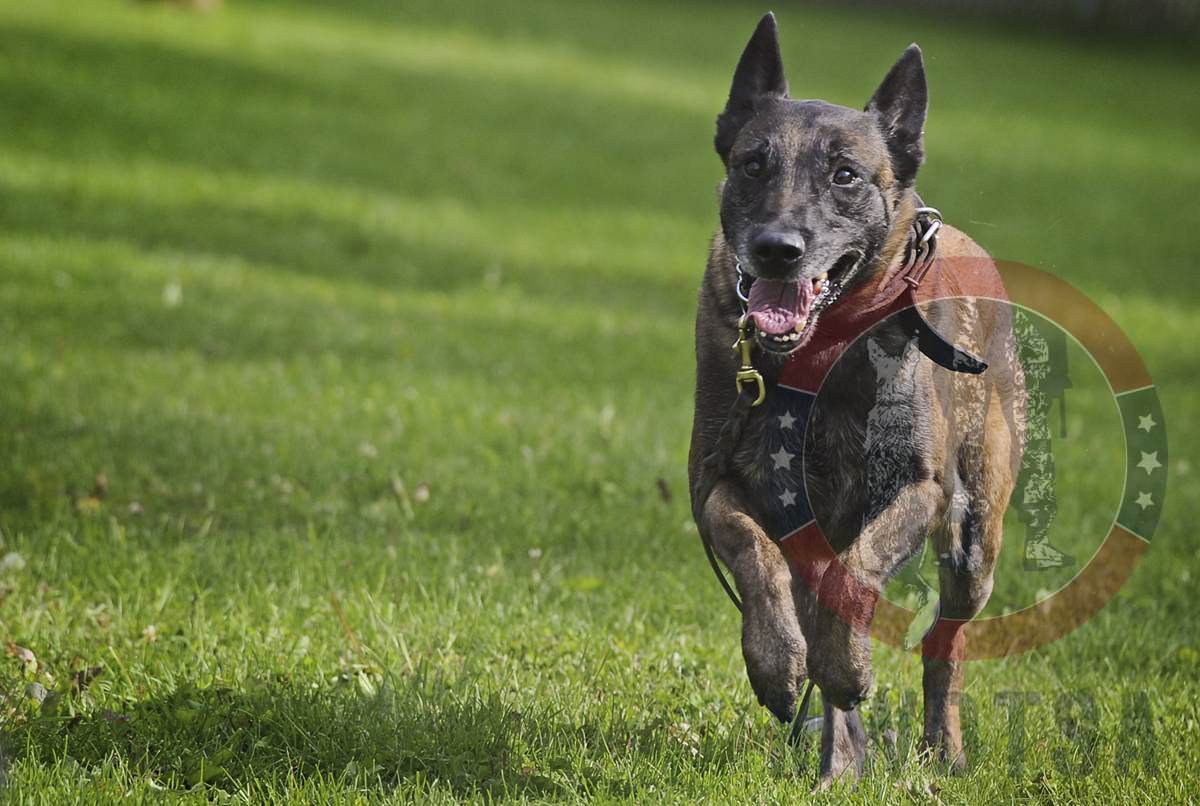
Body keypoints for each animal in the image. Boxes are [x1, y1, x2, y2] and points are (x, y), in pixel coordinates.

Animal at [691, 12, 1027, 786]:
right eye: (753, 164)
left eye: (845, 175)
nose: (778, 248)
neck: (814, 356)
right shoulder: (714, 481)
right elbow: (751, 545)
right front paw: (776, 663)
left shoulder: (920, 490)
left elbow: (858, 577)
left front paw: (845, 667)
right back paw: (840, 755)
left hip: (975, 540)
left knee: (944, 646)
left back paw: (939, 749)